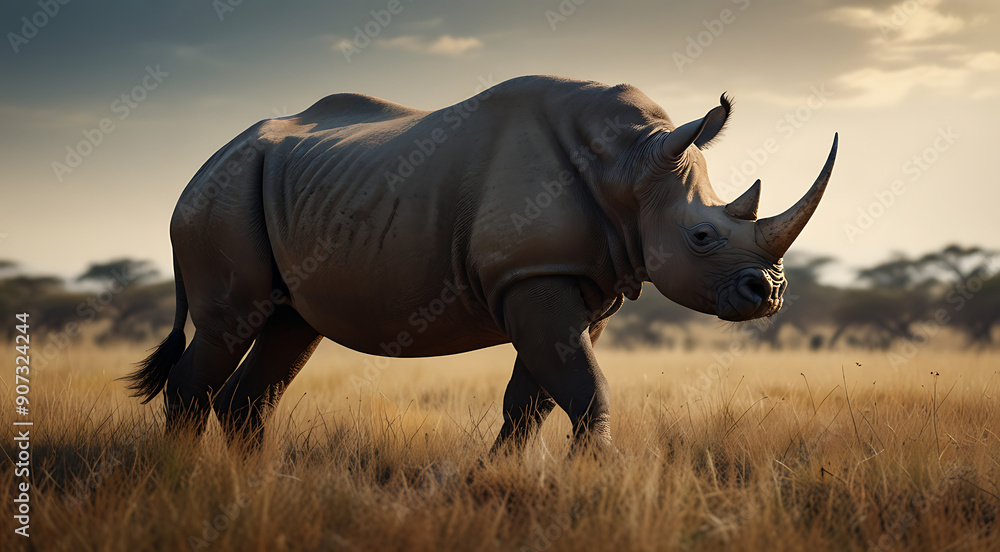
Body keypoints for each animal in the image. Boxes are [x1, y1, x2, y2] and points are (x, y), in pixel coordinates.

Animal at [126, 75, 836, 453]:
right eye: (701, 237)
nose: (769, 292)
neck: (630, 165)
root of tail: (205, 166)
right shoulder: (534, 274)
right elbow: (583, 387)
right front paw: (597, 477)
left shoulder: (573, 280)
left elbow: (534, 398)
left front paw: (492, 481)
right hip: (220, 198)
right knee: (232, 324)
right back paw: (185, 482)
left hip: (284, 192)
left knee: (287, 329)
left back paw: (255, 485)